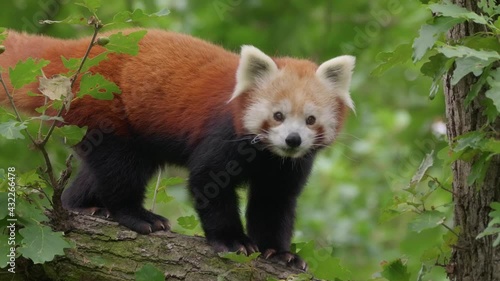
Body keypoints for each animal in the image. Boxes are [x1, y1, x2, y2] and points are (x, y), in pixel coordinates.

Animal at [0, 29, 356, 270]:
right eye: (278, 115)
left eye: (310, 119)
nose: (292, 140)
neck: (268, 156)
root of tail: (74, 50)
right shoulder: (222, 135)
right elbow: (208, 183)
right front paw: (233, 241)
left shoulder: (286, 167)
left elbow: (274, 203)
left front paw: (280, 253)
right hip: (104, 105)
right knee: (120, 168)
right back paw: (136, 215)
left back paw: (84, 206)